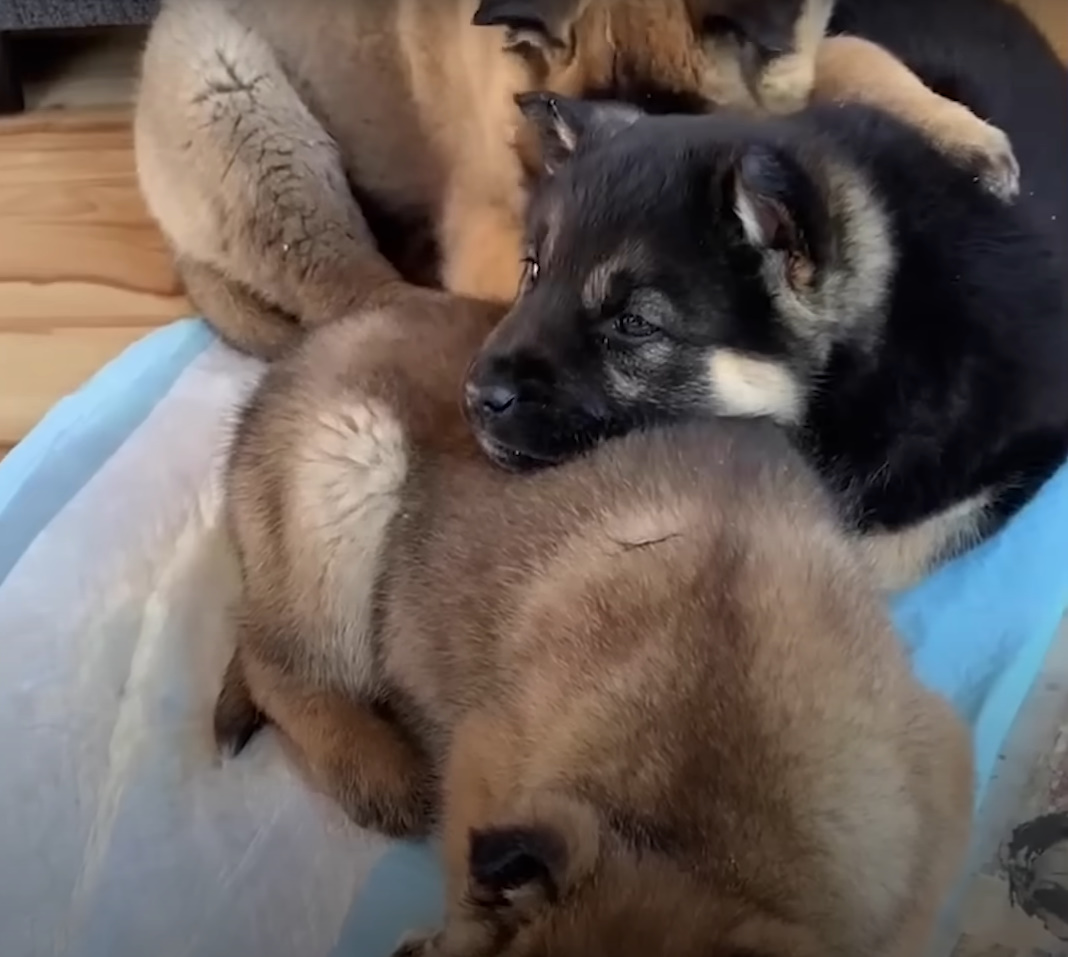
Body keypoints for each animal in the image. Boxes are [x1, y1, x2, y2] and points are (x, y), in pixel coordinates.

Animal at [216, 290, 978, 956]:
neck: (691, 831)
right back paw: (373, 766)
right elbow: (470, 911)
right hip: (343, 465)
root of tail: (293, 356)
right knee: (271, 657)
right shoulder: (486, 759)